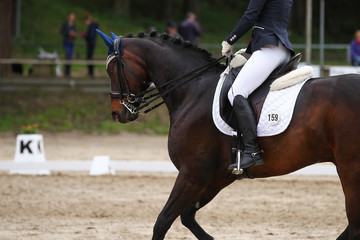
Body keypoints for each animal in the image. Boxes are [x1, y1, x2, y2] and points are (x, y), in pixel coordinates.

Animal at [97, 31, 360, 239]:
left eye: (111, 69)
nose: (117, 113)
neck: (193, 90)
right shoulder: (218, 176)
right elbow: (187, 216)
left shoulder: (192, 173)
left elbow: (163, 221)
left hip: (349, 168)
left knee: (354, 222)